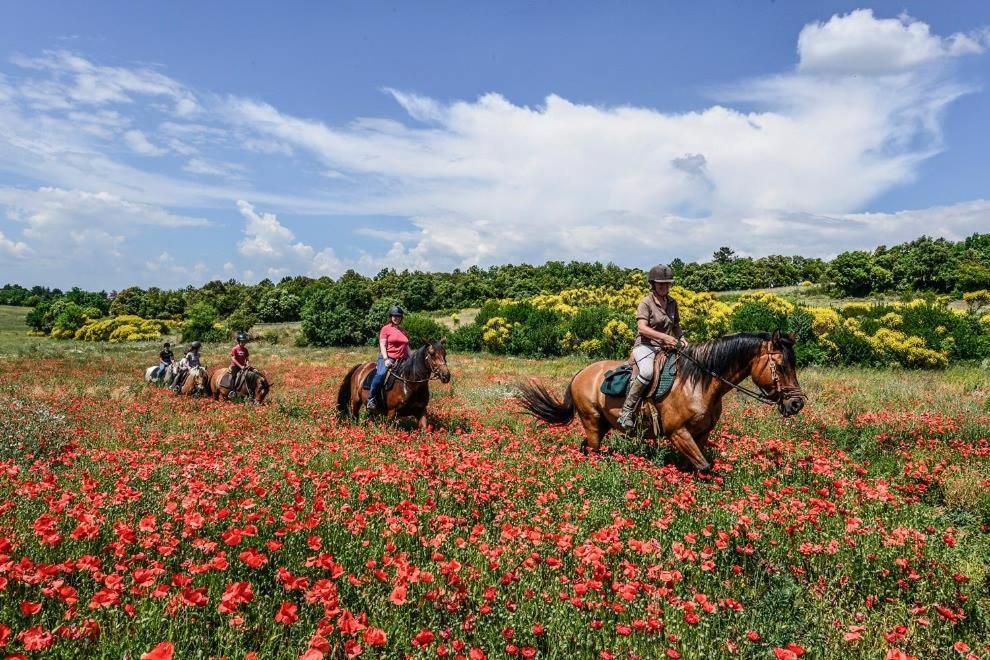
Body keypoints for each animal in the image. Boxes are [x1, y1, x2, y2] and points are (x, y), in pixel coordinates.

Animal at [520, 330, 808, 470]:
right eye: (781, 366)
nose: (797, 404)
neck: (699, 383)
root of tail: (581, 374)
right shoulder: (678, 432)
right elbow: (704, 467)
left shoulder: (701, 434)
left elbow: (695, 466)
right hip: (591, 421)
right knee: (592, 450)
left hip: (601, 425)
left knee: (587, 447)